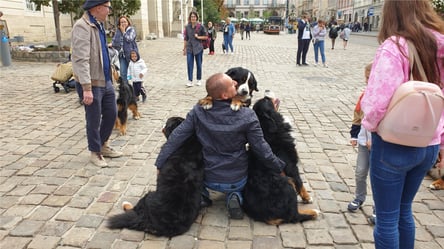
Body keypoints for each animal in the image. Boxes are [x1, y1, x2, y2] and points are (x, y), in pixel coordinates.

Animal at [243, 96, 320, 225]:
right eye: (266, 101)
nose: (266, 96)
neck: (268, 130)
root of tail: (267, 216)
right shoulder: (291, 166)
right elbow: (300, 183)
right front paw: (307, 198)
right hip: (287, 183)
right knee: (294, 216)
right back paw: (314, 212)